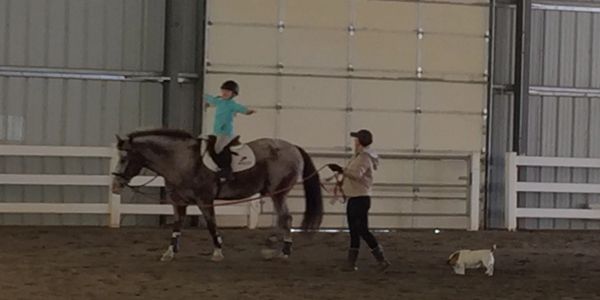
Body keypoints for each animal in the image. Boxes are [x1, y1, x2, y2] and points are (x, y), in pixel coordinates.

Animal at [110, 129, 322, 262]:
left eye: (124, 158)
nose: (115, 186)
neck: (182, 161)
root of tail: (293, 147)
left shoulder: (204, 200)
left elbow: (212, 225)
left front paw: (218, 252)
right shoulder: (178, 202)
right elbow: (177, 227)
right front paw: (169, 253)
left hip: (278, 193)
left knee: (285, 218)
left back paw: (279, 250)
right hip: (276, 194)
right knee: (284, 219)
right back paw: (276, 248)